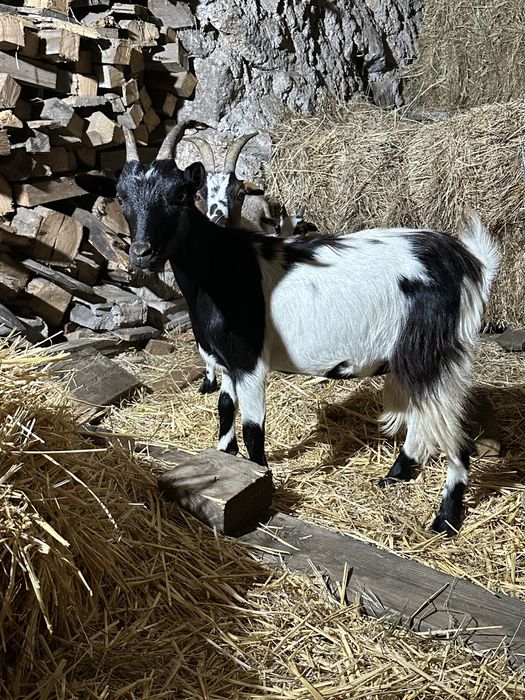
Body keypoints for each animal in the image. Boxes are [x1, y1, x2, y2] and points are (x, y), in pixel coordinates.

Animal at [77, 124, 501, 537]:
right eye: (121, 196)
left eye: (180, 194)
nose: (141, 253)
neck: (221, 266)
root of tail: (468, 261)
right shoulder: (225, 358)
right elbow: (224, 408)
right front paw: (226, 461)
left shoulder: (250, 360)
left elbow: (253, 429)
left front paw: (261, 485)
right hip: (416, 359)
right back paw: (395, 476)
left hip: (434, 352)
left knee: (456, 434)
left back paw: (445, 520)